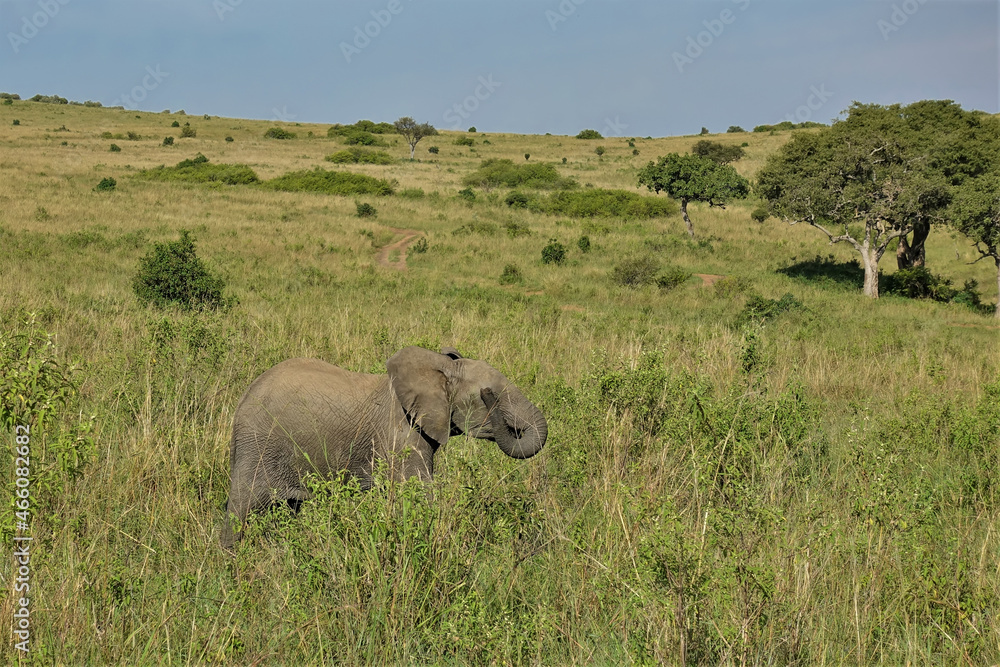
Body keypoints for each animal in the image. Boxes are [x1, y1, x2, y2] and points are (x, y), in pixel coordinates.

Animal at [220, 346, 547, 548]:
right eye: (490, 396)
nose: (490, 395)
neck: (440, 369)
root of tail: (242, 400)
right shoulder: (400, 436)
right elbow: (419, 496)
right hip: (258, 445)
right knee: (241, 510)